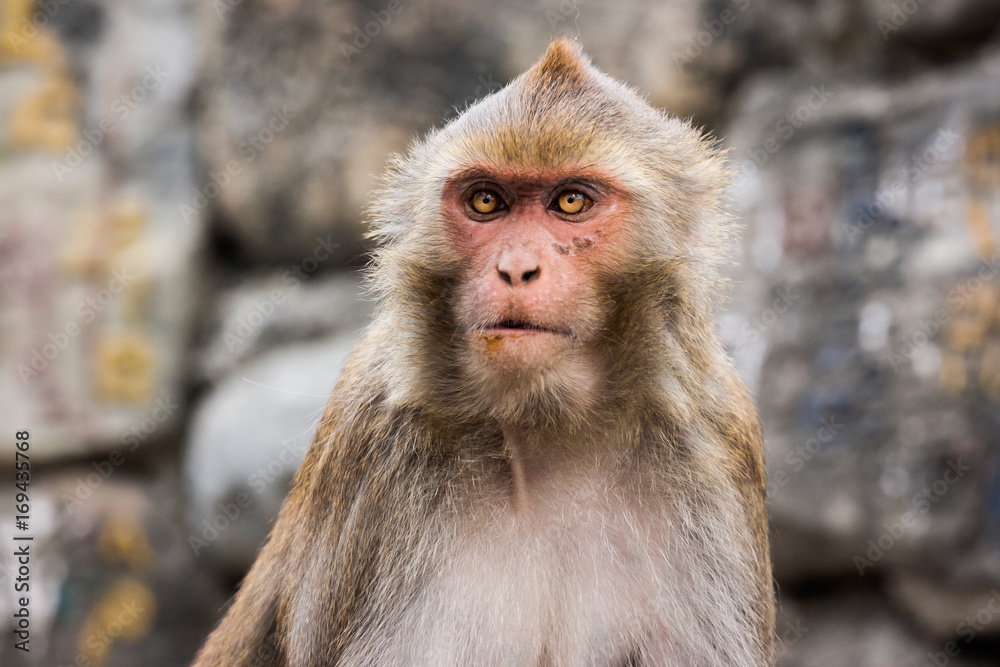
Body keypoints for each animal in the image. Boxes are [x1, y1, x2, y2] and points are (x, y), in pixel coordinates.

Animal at [193, 38, 775, 667]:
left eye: (571, 202)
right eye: (486, 201)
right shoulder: (373, 442)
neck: (545, 430)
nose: (516, 268)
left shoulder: (713, 451)